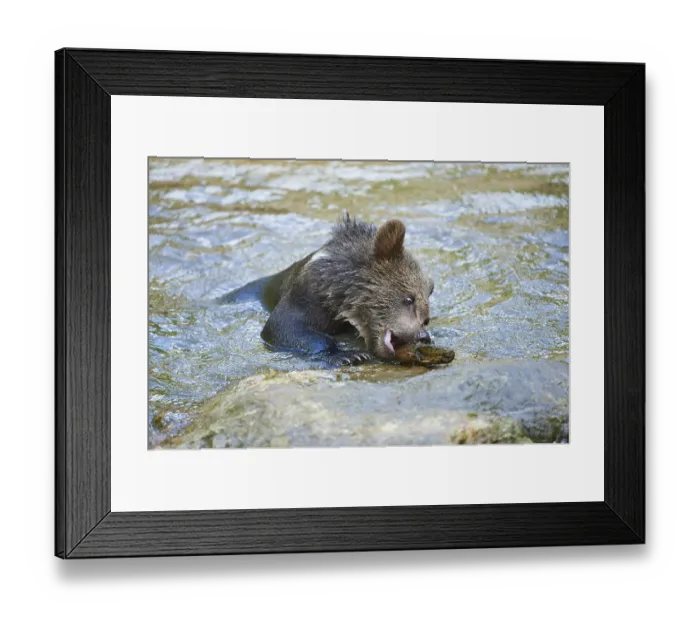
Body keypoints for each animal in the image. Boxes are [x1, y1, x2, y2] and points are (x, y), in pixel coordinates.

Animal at [220, 214, 434, 366]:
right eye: (408, 299)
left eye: (426, 318)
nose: (422, 336)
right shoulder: (307, 296)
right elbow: (283, 326)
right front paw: (349, 356)